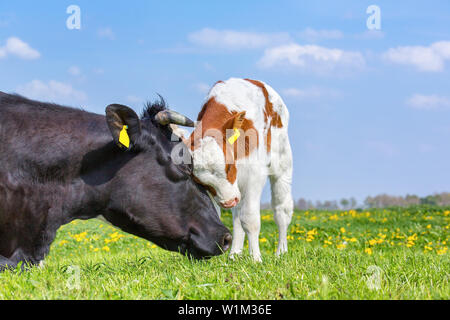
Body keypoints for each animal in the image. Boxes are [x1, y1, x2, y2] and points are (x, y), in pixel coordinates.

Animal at [185, 78, 294, 262]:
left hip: (282, 163)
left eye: (228, 166)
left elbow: (250, 219)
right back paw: (234, 254)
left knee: (282, 211)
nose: (228, 202)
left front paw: (256, 258)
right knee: (237, 216)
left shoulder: (254, 176)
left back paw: (281, 252)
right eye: (201, 181)